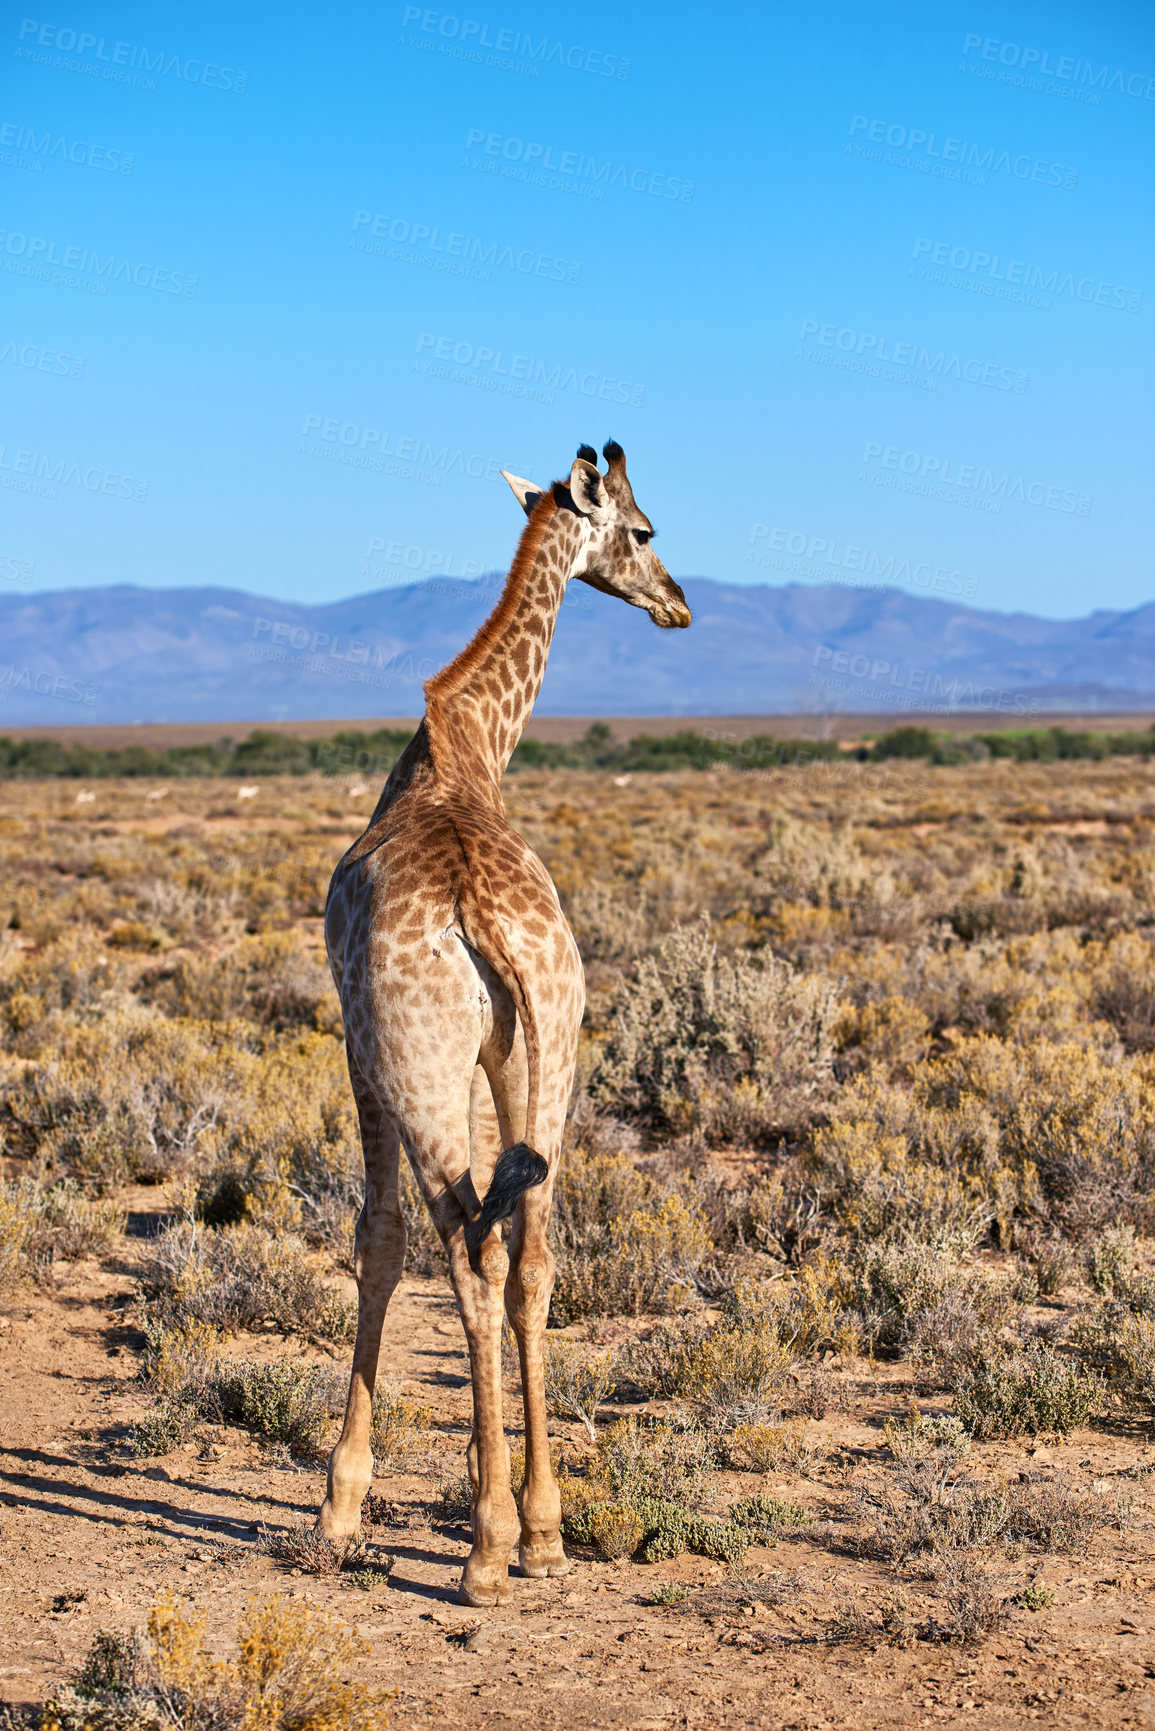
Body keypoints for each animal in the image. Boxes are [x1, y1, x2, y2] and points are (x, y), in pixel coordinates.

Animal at [316, 439, 692, 1599]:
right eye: (646, 531)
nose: (678, 604)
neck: (464, 749)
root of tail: (479, 913)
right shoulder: (502, 1052)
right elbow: (513, 1252)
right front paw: (529, 1515)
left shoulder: (360, 1044)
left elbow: (380, 1240)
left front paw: (340, 1504)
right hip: (556, 1047)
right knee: (529, 1255)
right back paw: (542, 1528)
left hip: (423, 1068)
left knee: (465, 1259)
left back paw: (481, 1549)